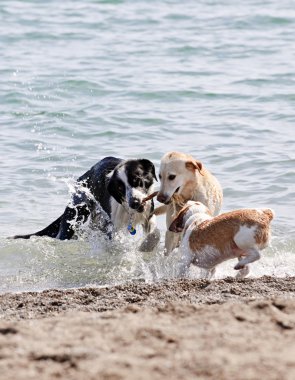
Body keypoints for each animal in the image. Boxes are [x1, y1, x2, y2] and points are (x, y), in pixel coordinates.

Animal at [13, 156, 161, 251]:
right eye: (120, 188)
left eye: (137, 180)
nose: (134, 202)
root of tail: (82, 178)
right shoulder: (114, 226)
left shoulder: (148, 213)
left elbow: (155, 232)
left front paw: (147, 246)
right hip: (75, 213)